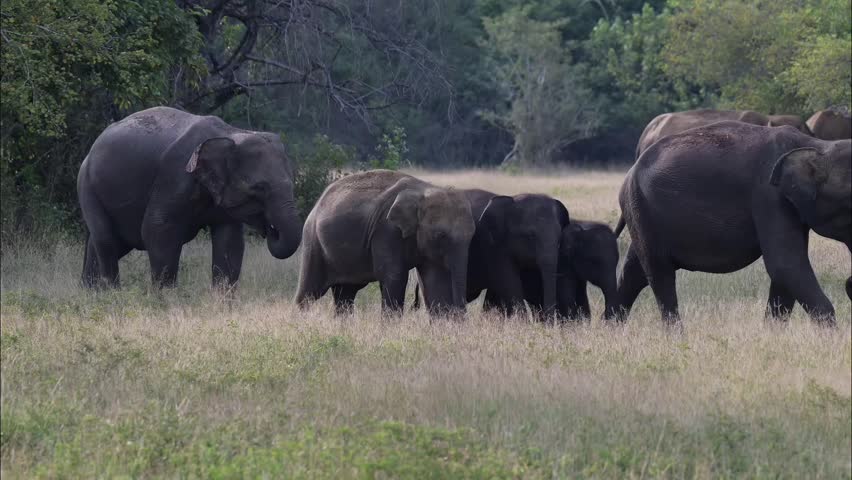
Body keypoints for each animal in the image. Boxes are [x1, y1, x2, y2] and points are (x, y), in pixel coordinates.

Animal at [78, 106, 302, 288]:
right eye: (259, 188)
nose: (269, 229)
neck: (230, 133)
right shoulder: (175, 177)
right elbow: (157, 230)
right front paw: (165, 299)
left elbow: (230, 240)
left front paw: (222, 302)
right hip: (87, 186)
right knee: (106, 240)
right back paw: (111, 293)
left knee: (107, 243)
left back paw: (90, 292)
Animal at [294, 170, 479, 316]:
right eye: (441, 235)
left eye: (472, 235)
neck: (426, 189)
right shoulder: (387, 231)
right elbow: (395, 276)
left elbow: (433, 279)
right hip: (313, 241)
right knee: (309, 292)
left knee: (345, 294)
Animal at [615, 121, 851, 326]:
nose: (849, 283)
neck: (816, 145)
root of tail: (630, 172)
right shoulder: (768, 196)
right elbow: (785, 264)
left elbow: (784, 276)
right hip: (641, 208)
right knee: (659, 273)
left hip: (642, 213)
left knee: (634, 273)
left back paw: (612, 328)